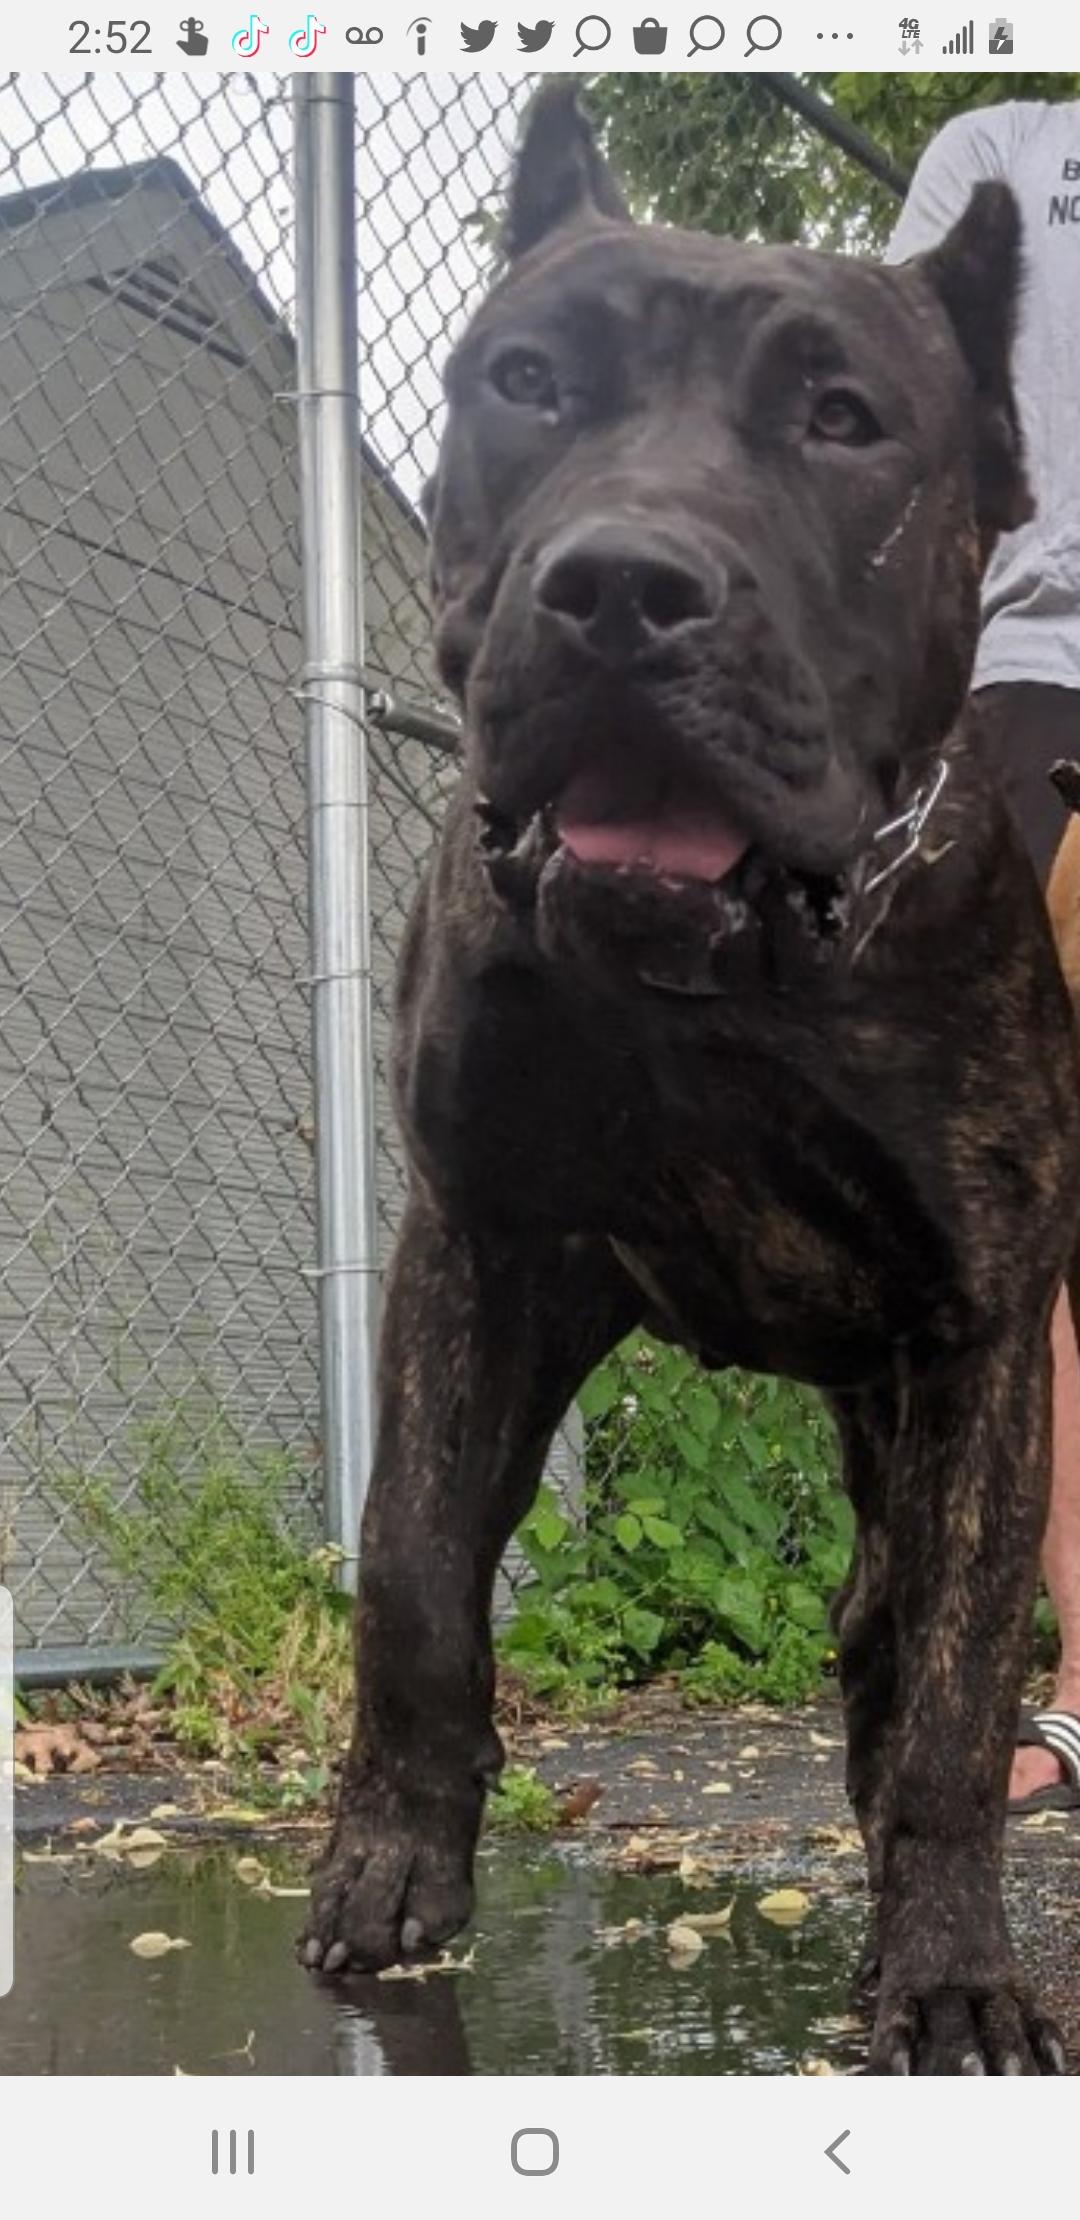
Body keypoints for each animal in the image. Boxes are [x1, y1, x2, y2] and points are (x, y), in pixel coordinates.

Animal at [302, 87, 1080, 2074]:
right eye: (527, 380)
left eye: (844, 421)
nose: (624, 587)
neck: (713, 982)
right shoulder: (479, 1255)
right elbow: (414, 1575)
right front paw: (393, 1864)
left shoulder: (984, 1338)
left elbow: (963, 1680)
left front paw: (952, 1967)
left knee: (894, 1639)